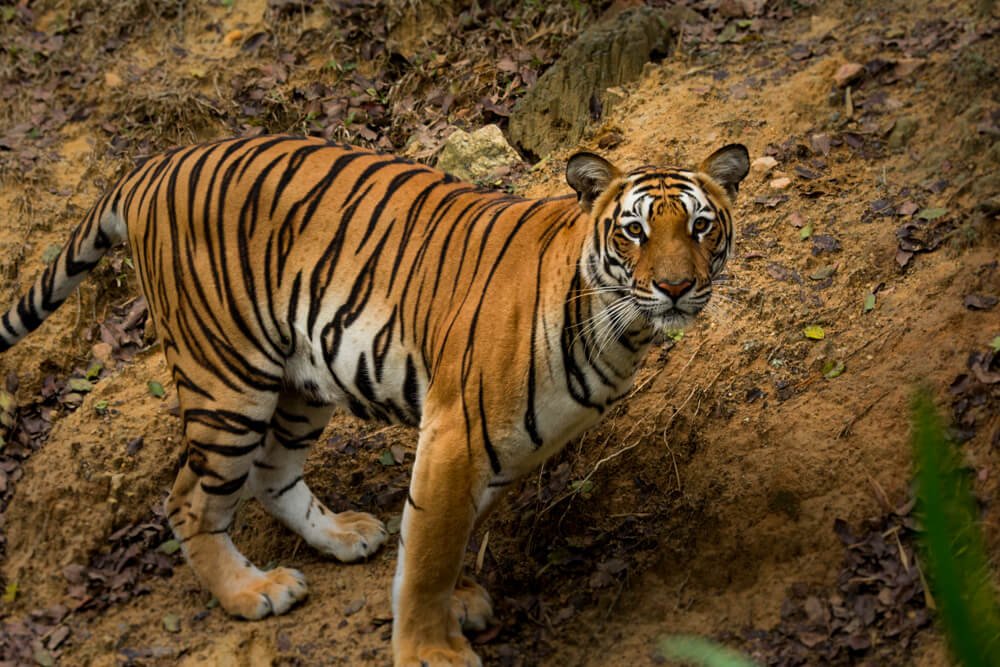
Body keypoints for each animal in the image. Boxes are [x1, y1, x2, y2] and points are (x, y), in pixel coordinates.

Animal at [0, 135, 748, 666]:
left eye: (702, 226)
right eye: (634, 231)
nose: (678, 287)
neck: (617, 328)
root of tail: (153, 164)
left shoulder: (503, 448)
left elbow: (457, 535)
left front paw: (457, 604)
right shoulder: (456, 432)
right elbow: (431, 552)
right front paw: (430, 650)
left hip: (304, 375)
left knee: (271, 472)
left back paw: (339, 536)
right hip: (227, 378)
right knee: (189, 497)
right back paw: (250, 591)